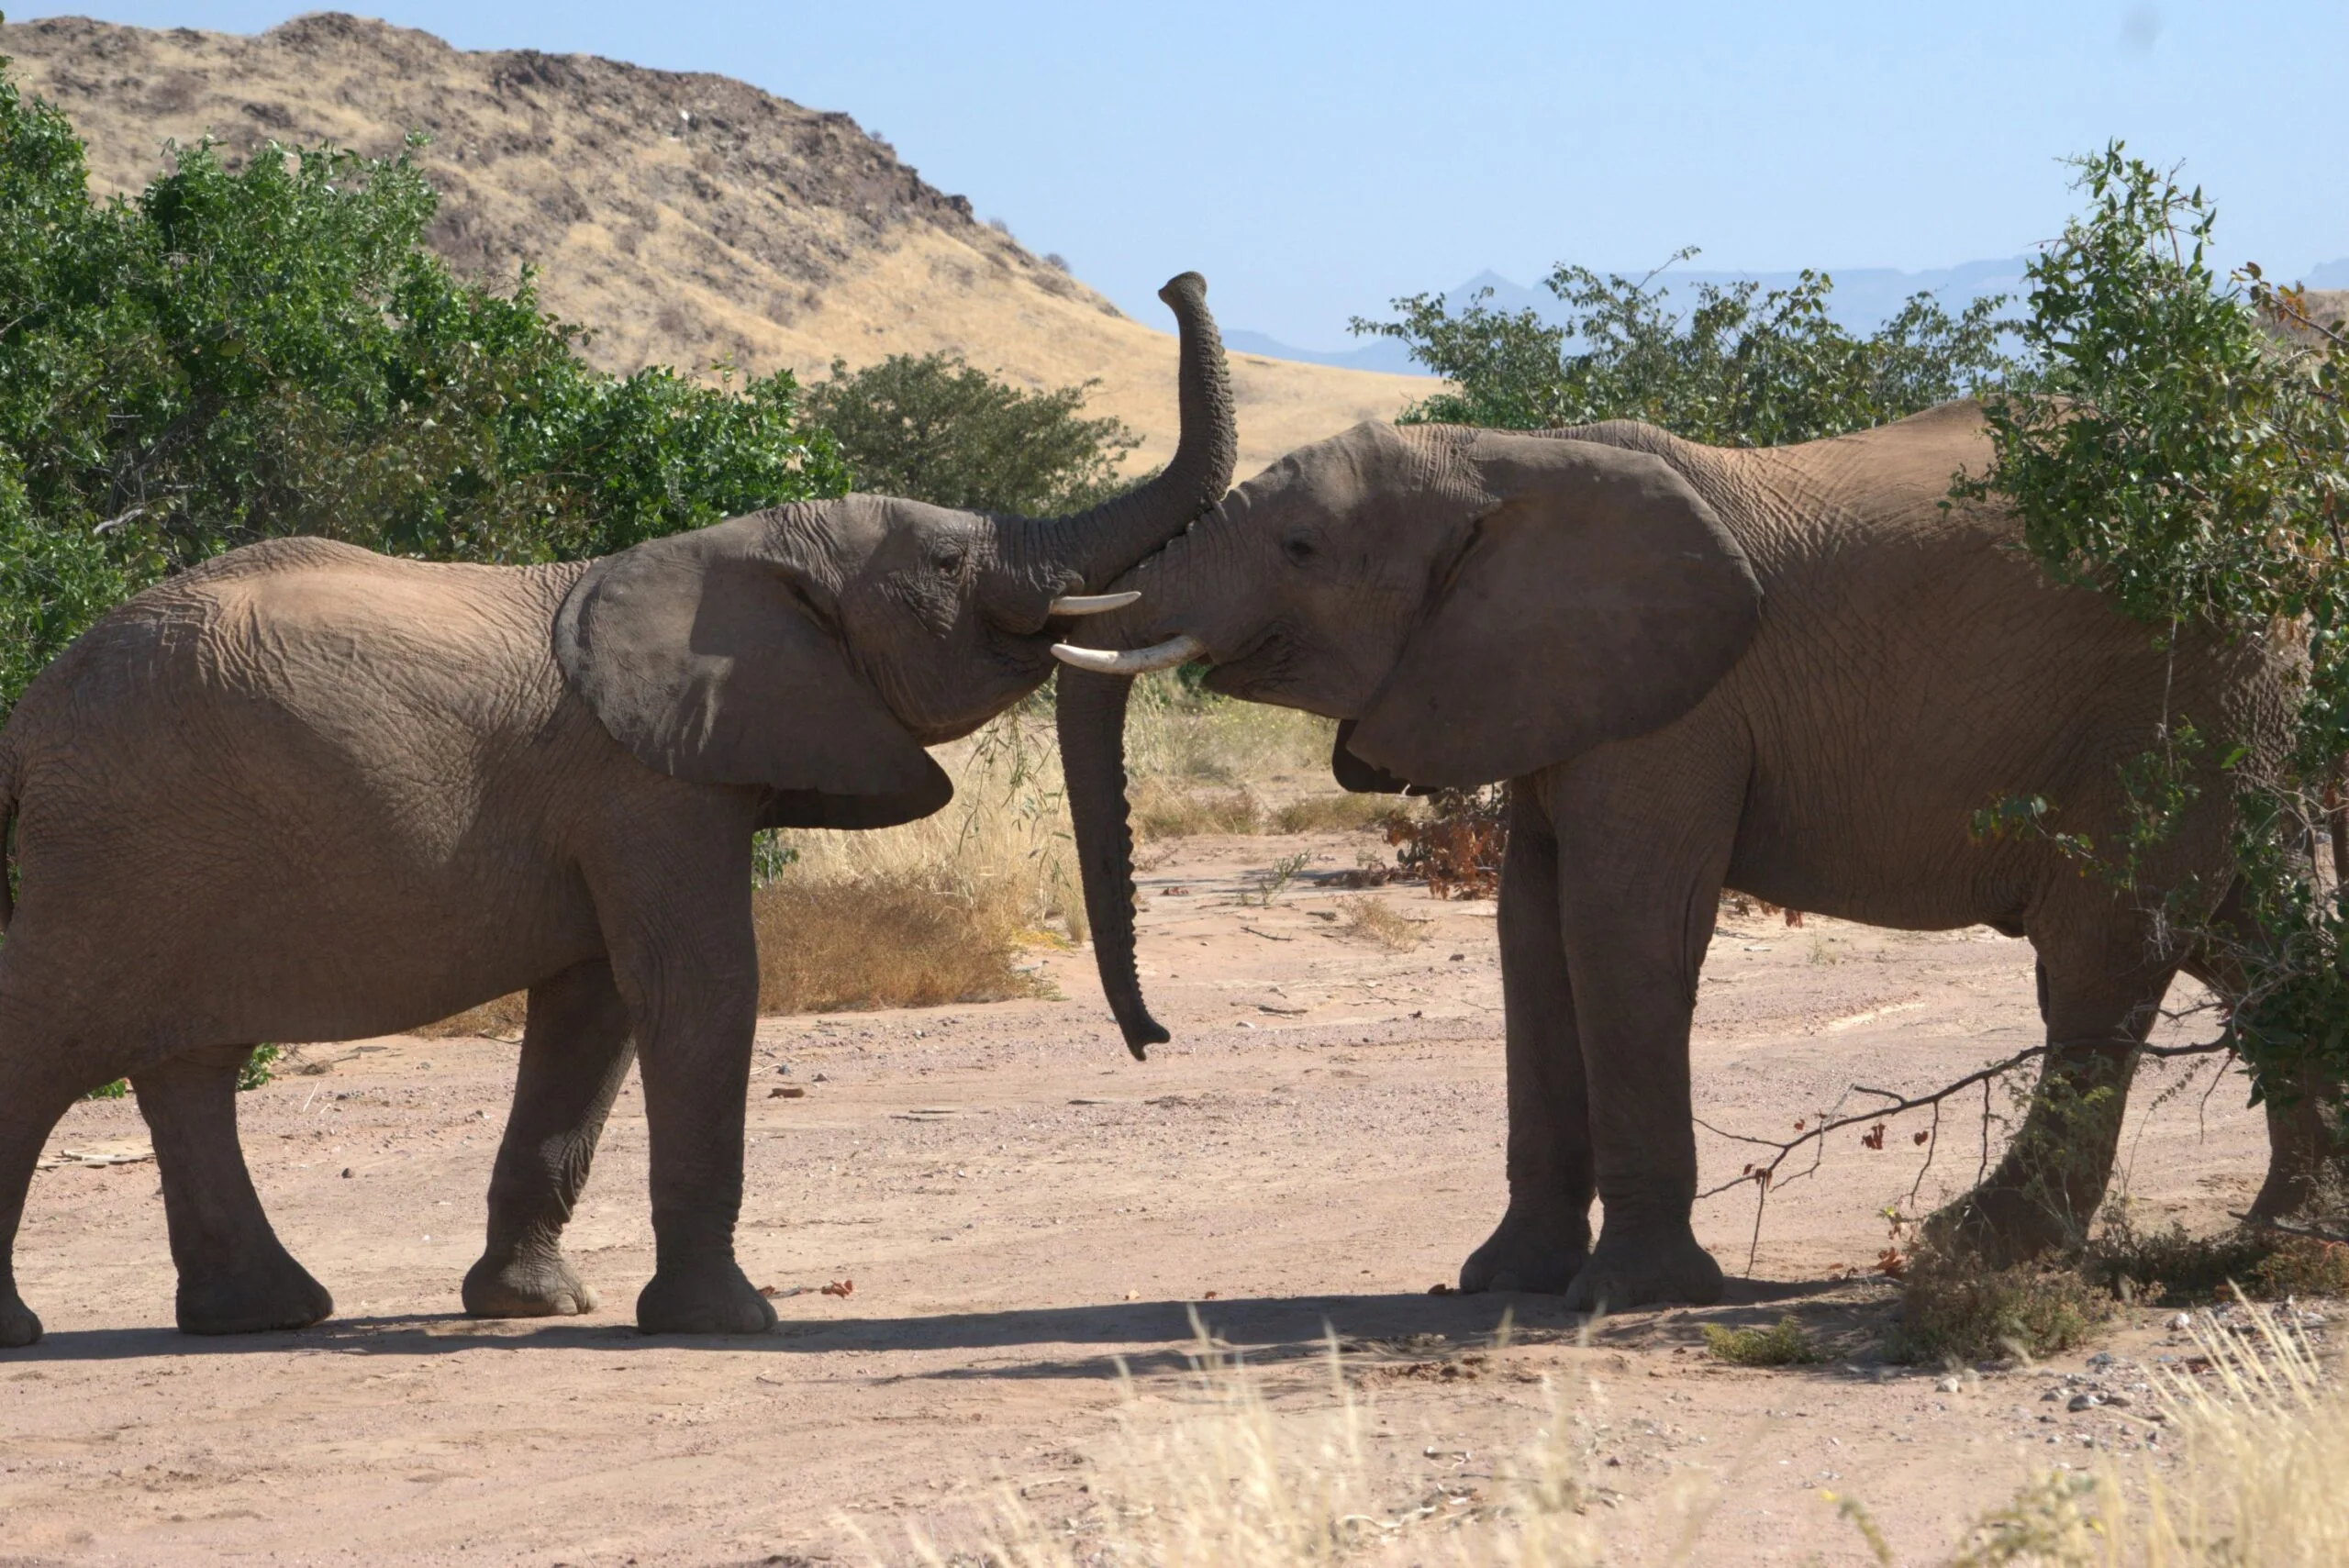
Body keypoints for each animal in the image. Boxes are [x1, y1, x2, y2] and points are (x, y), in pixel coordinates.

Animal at [0, 274, 1237, 1350]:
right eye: (943, 560)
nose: (1178, 280)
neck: (740, 541)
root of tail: (34, 705)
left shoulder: (618, 801)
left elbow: (591, 1009)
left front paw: (534, 1306)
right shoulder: (648, 783)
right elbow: (698, 983)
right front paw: (727, 1322)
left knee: (191, 1061)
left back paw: (268, 1314)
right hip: (115, 837)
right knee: (55, 1036)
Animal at [1050, 405, 2312, 1311]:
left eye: (1302, 547)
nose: (1154, 1039)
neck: (1502, 461)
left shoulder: (1676, 709)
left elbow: (1621, 924)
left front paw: (1629, 1298)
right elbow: (1530, 931)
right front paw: (1503, 1282)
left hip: (2171, 699)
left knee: (2106, 946)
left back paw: (1978, 1247)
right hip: (2227, 712)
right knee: (2252, 935)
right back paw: (2287, 1235)